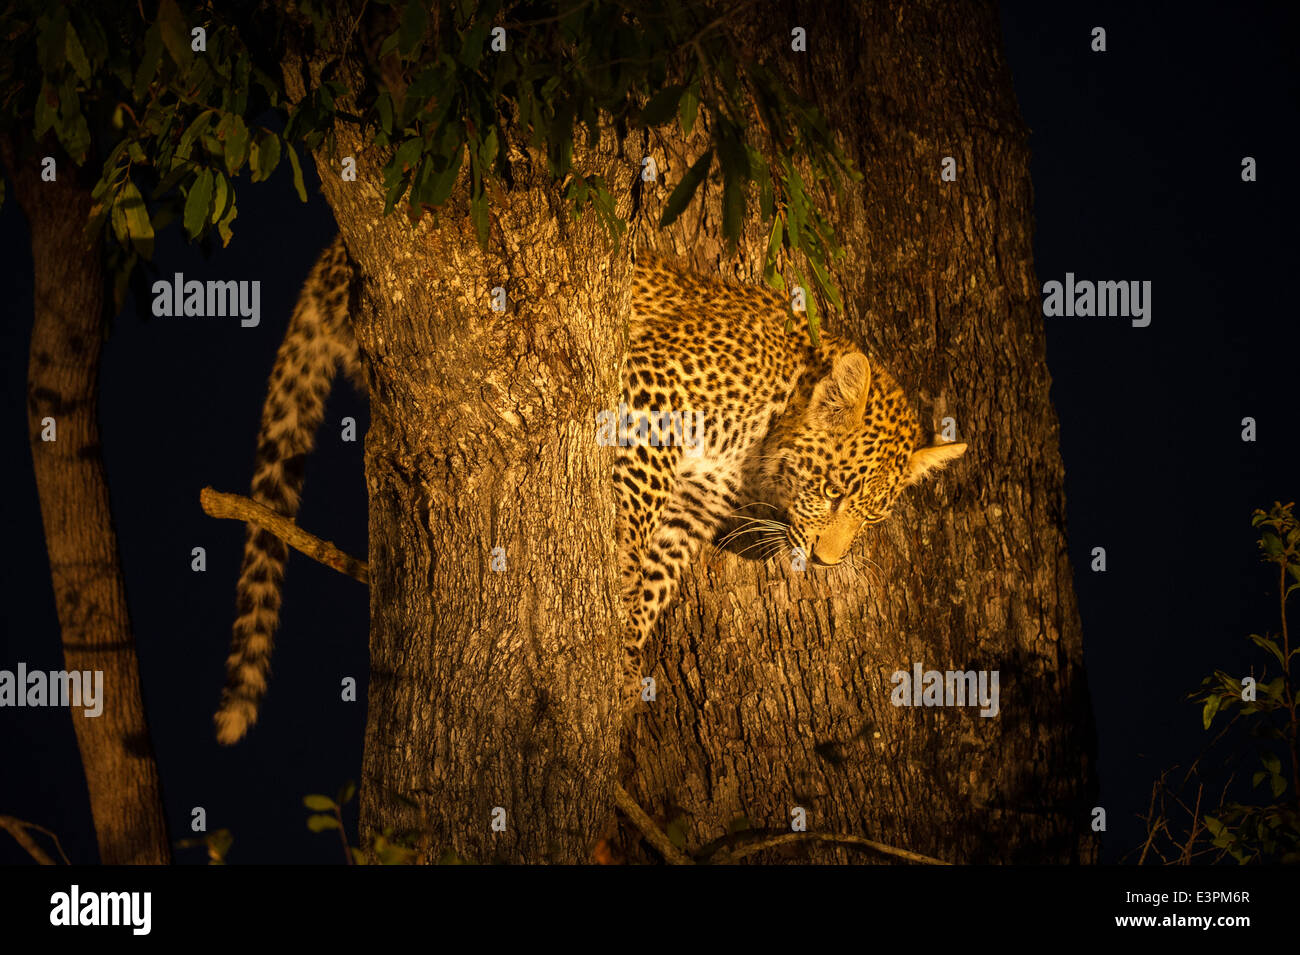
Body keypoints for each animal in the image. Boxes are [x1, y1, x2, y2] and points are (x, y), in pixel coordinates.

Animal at [213, 236, 965, 744]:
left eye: (870, 519)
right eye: (833, 491)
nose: (832, 560)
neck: (766, 433)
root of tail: (332, 254)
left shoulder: (697, 499)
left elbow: (662, 571)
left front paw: (629, 647)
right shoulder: (654, 389)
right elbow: (636, 505)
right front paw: (618, 564)